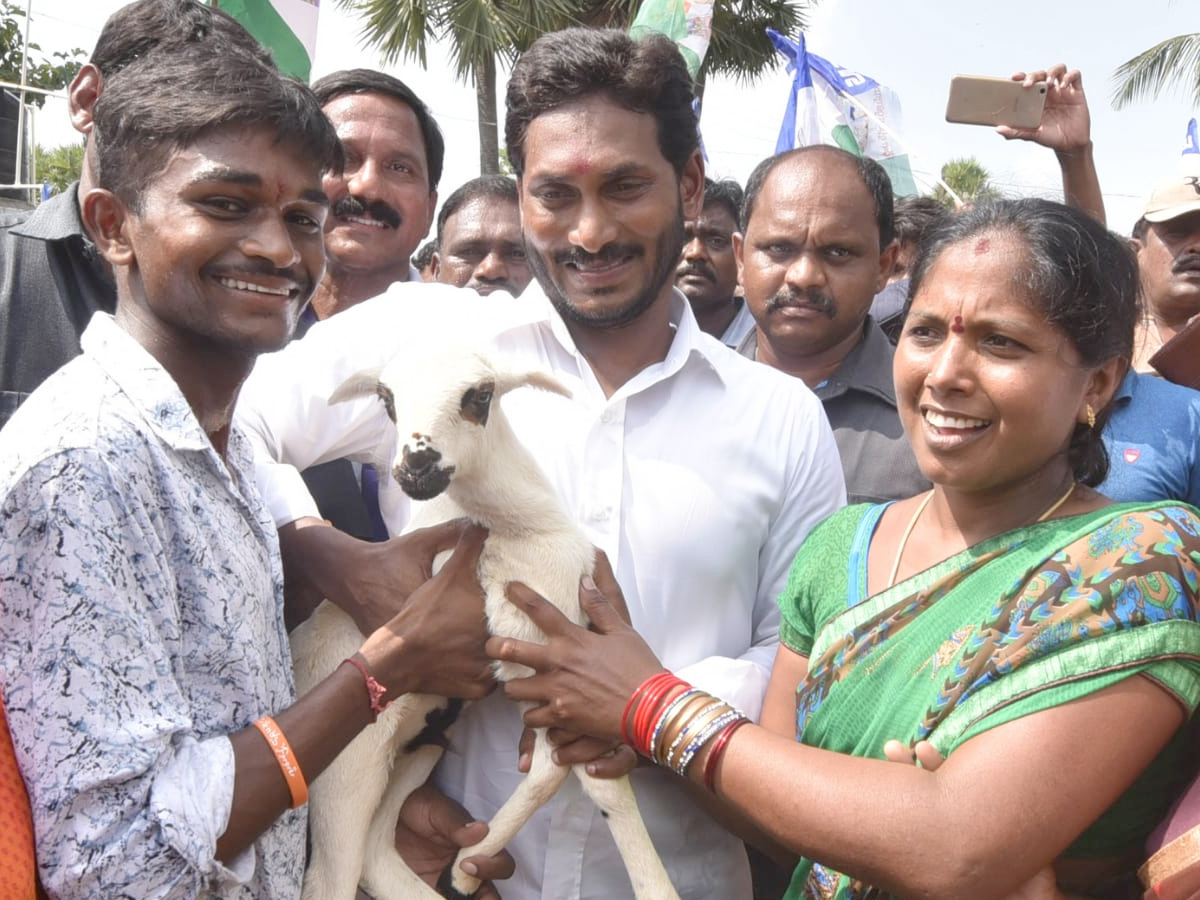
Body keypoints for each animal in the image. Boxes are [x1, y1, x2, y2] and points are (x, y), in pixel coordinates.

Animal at [285, 343, 681, 900]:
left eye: (481, 394)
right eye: (387, 399)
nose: (416, 465)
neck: (524, 530)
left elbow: (603, 783)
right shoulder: (530, 655)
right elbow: (555, 774)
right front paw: (466, 867)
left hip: (417, 744)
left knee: (375, 852)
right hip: (345, 765)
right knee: (332, 875)